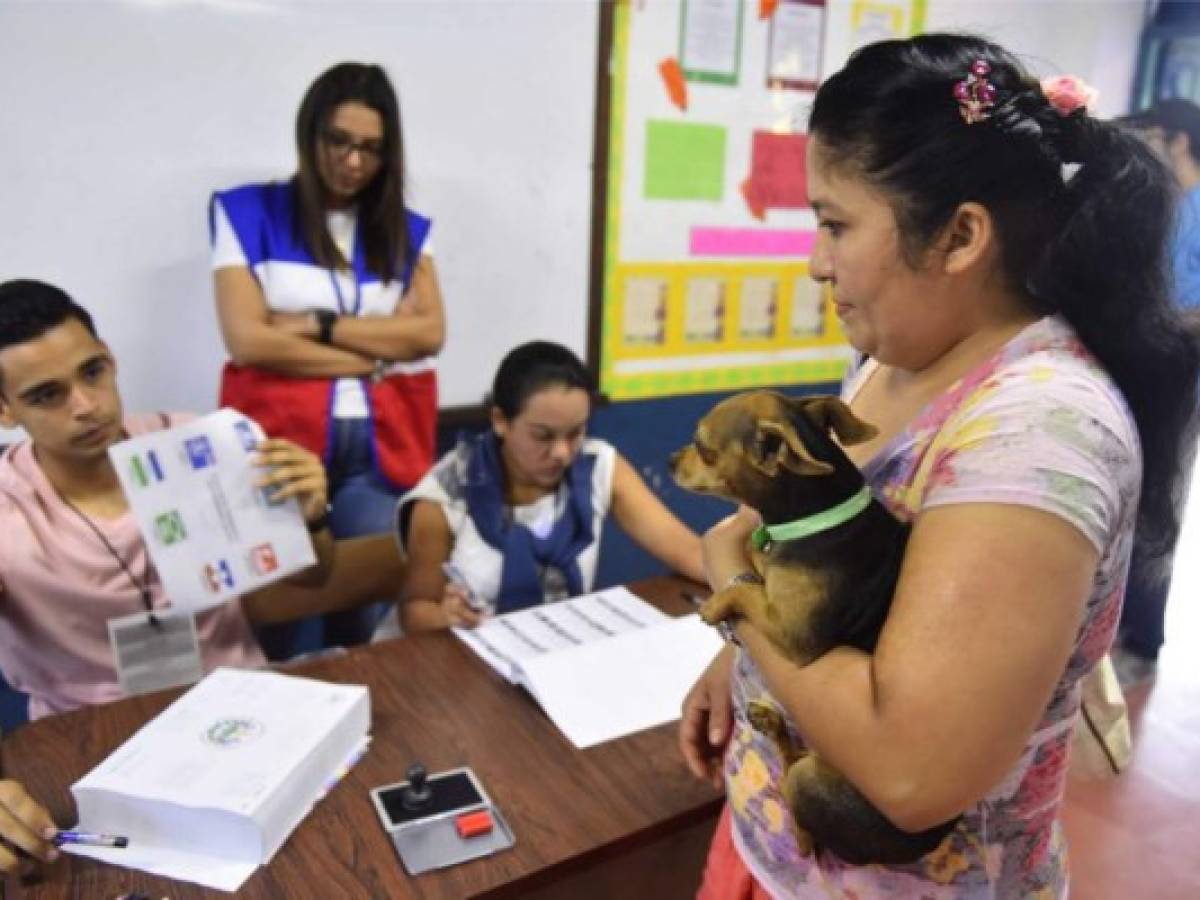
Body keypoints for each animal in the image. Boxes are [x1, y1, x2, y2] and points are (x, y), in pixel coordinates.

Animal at [667, 393, 955, 868]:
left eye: (702, 447)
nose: (670, 459)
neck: (818, 519)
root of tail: (923, 845)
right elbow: (757, 566)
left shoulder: (791, 633)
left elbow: (746, 590)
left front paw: (715, 602)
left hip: (808, 780)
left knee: (800, 824)